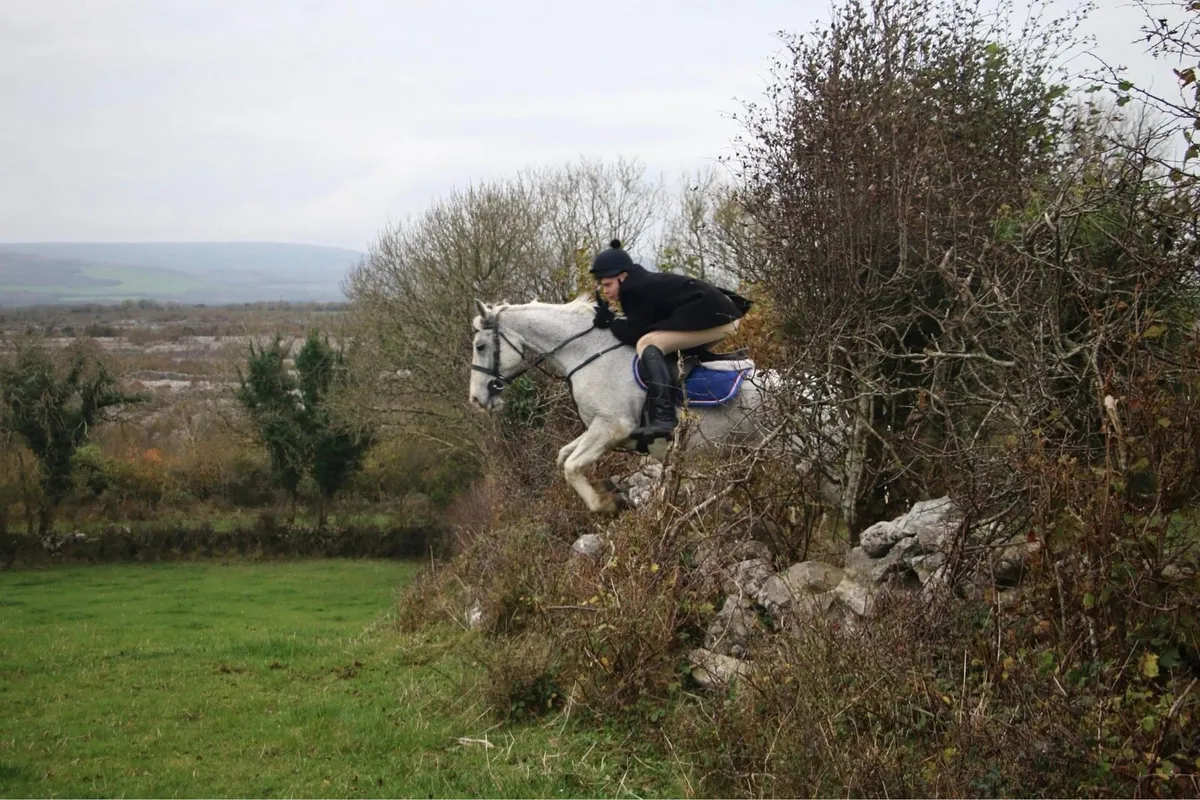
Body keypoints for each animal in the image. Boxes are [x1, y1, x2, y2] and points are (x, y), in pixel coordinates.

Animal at [468, 294, 770, 512]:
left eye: (480, 347)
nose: (476, 399)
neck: (588, 353)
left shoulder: (612, 427)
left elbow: (571, 466)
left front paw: (607, 503)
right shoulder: (601, 429)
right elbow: (564, 456)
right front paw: (606, 489)